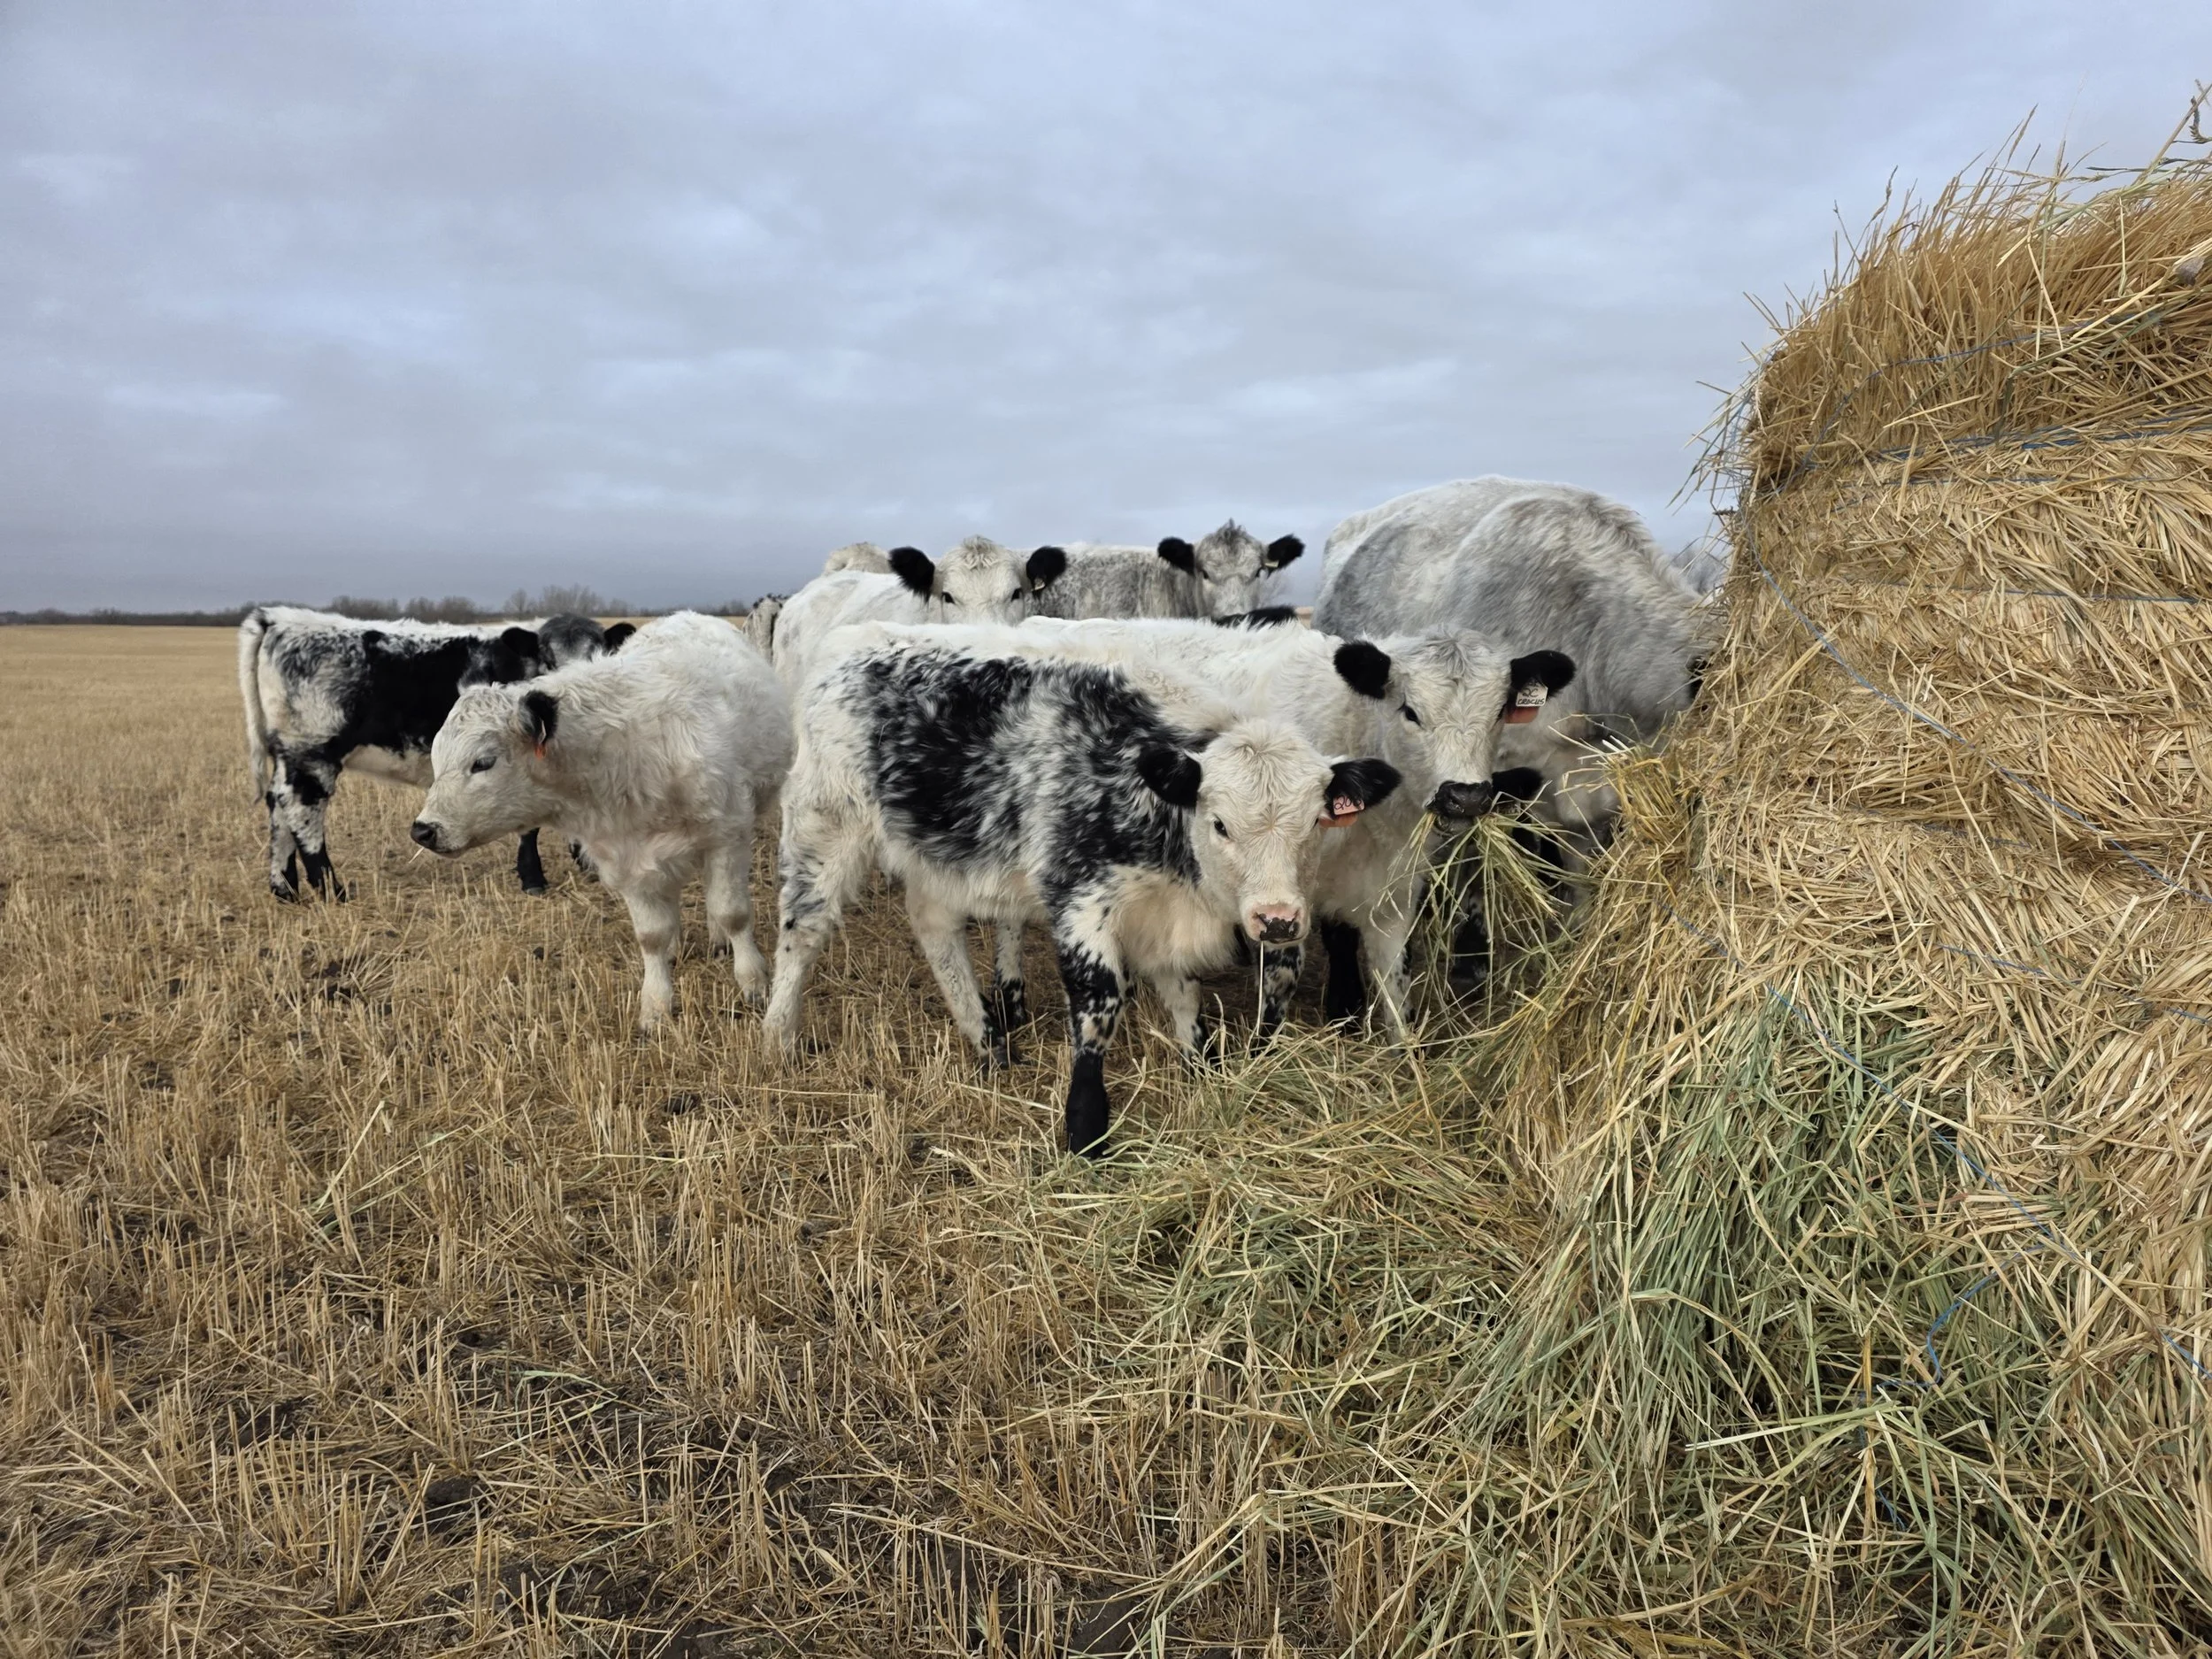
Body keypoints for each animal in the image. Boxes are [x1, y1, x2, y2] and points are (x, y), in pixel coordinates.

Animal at [238, 607, 623, 902]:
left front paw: (587, 863)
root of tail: (280, 618)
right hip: (312, 752)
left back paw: (285, 889)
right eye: (546, 655)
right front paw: (535, 880)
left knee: (278, 804)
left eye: (597, 653)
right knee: (302, 810)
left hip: (290, 755)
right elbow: (530, 826)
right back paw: (332, 891)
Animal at [409, 612, 792, 1032]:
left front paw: (753, 981)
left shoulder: (728, 835)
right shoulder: (627, 857)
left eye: (482, 762)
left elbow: (732, 913)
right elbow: (651, 935)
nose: (424, 830)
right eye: (436, 758)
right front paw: (656, 1005)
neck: (628, 750)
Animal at [763, 640, 1400, 1156]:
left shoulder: (1161, 918)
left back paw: (988, 1042)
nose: (1277, 920)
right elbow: (1099, 1003)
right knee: (801, 933)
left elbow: (1184, 995)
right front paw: (1086, 1130)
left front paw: (1202, 1065)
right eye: (1220, 824)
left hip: (938, 859)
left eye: (1315, 823)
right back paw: (777, 1038)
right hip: (824, 828)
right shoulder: (1080, 899)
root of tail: (847, 662)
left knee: (934, 927)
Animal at [838, 616, 1573, 1035]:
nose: (1466, 795)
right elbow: (1285, 980)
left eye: (1502, 712)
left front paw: (1389, 1045)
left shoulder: (1390, 893)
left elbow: (1393, 987)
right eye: (1411, 709)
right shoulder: (1280, 900)